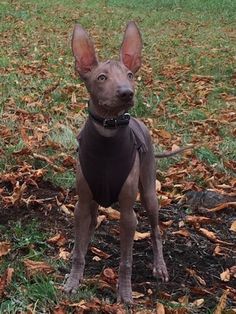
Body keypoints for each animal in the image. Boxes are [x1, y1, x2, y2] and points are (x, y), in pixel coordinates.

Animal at [63, 21, 189, 304]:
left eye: (130, 74)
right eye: (101, 77)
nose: (126, 93)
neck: (108, 134)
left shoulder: (128, 214)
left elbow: (126, 261)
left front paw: (125, 292)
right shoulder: (81, 203)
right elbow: (78, 251)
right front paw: (74, 280)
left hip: (150, 194)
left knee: (156, 231)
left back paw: (160, 266)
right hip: (93, 201)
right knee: (91, 225)